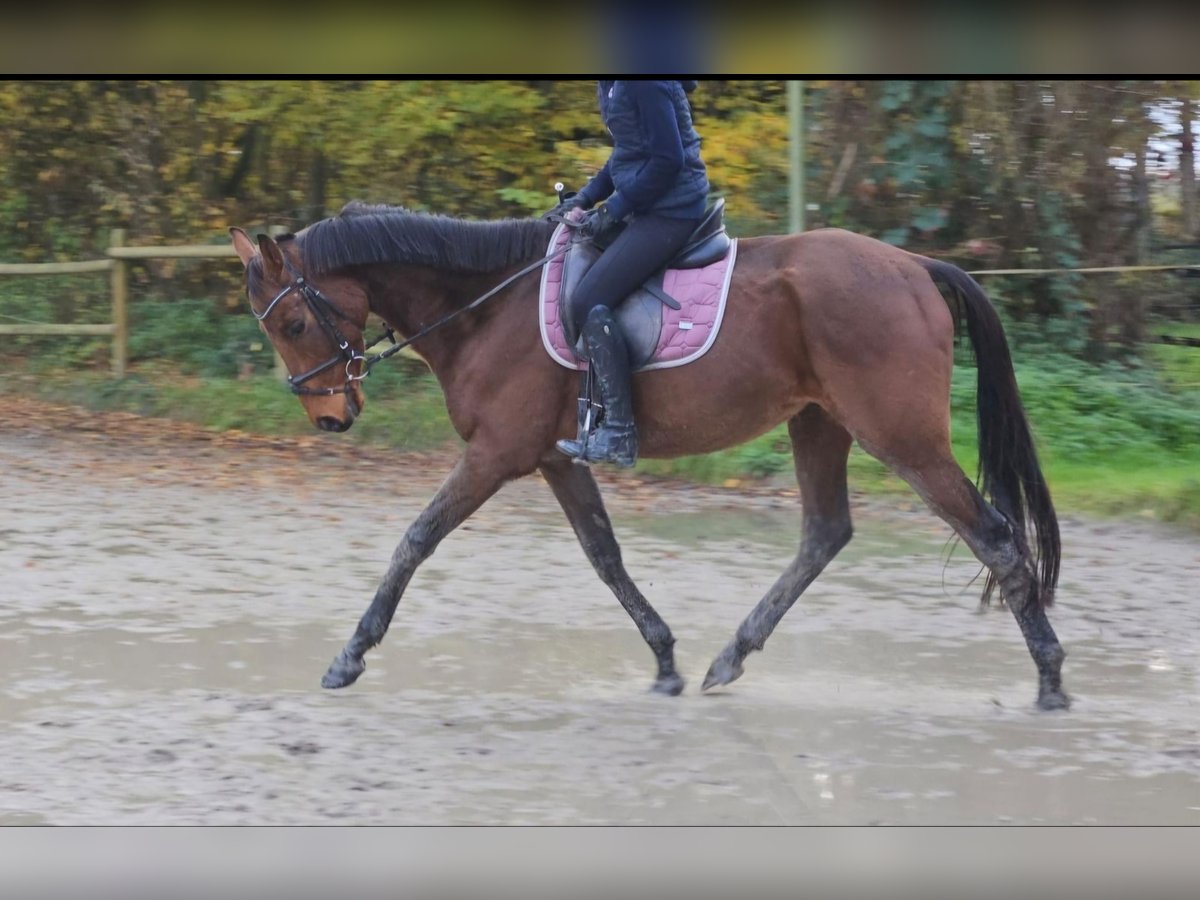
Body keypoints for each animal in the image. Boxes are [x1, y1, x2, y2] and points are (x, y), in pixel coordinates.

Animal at [226, 202, 1070, 710]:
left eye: (293, 322)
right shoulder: (555, 458)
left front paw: (350, 656)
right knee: (826, 533)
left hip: (901, 437)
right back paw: (730, 657)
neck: (485, 307)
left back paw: (1051, 679)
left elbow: (415, 539)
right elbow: (606, 555)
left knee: (993, 536)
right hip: (819, 423)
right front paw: (664, 660)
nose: (330, 417)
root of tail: (914, 267)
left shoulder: (498, 454)